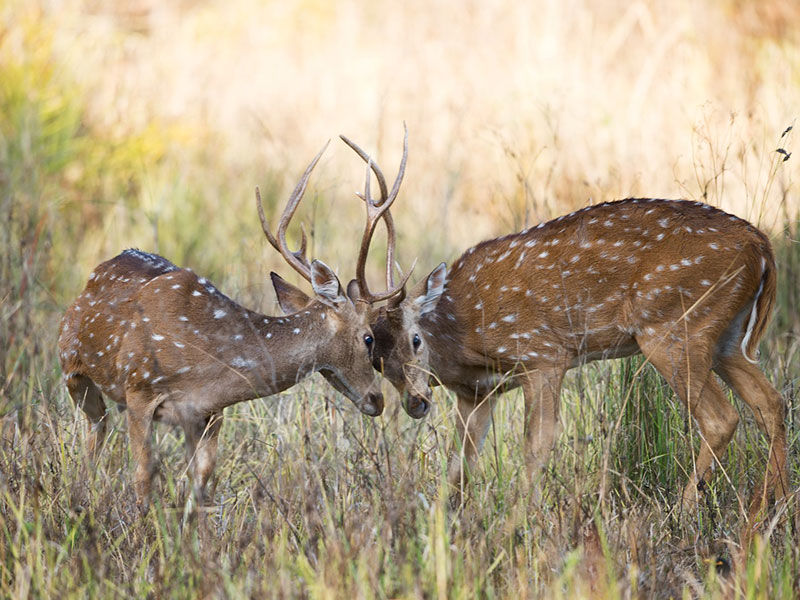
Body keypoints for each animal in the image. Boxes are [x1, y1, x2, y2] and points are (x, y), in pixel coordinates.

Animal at [58, 144, 390, 510]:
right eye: (369, 338)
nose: (378, 400)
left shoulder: (210, 413)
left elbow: (201, 485)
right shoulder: (139, 389)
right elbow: (143, 478)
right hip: (72, 368)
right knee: (96, 429)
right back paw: (80, 500)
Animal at [282, 129, 788, 516]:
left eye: (416, 339)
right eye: (375, 353)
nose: (417, 403)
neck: (466, 337)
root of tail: (761, 246)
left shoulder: (543, 355)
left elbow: (536, 445)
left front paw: (520, 520)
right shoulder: (477, 393)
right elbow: (460, 466)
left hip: (672, 326)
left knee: (721, 418)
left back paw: (685, 512)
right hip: (725, 336)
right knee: (771, 403)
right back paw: (769, 507)